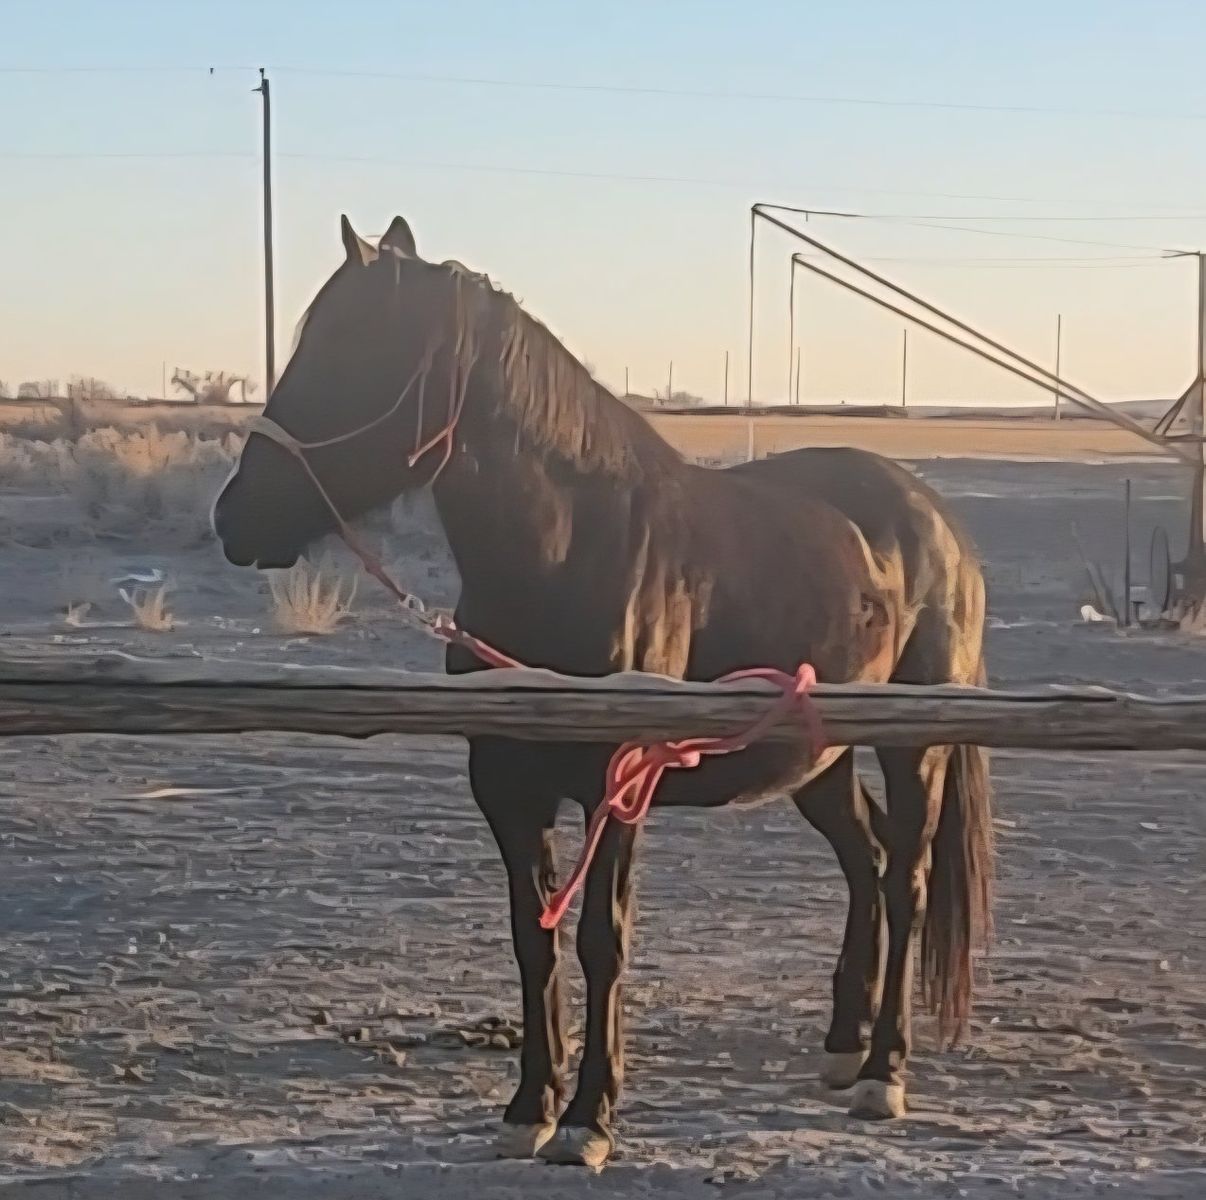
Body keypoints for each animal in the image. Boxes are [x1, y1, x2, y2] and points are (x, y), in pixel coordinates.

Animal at [213, 214, 994, 1169]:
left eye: (351, 352)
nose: (233, 517)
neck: (569, 555)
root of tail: (935, 519)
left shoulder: (619, 785)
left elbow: (600, 941)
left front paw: (589, 1118)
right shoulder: (505, 789)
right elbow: (533, 937)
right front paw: (530, 1106)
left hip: (912, 747)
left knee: (906, 878)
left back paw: (884, 1072)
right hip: (818, 758)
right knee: (868, 863)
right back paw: (844, 1048)